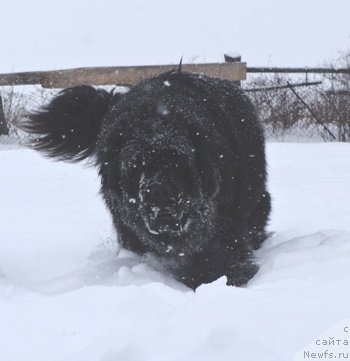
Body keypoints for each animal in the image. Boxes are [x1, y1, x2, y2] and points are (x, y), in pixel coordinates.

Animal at [23, 71, 272, 290]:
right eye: (136, 165)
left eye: (177, 160)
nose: (158, 190)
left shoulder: (221, 214)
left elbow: (217, 248)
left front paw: (220, 277)